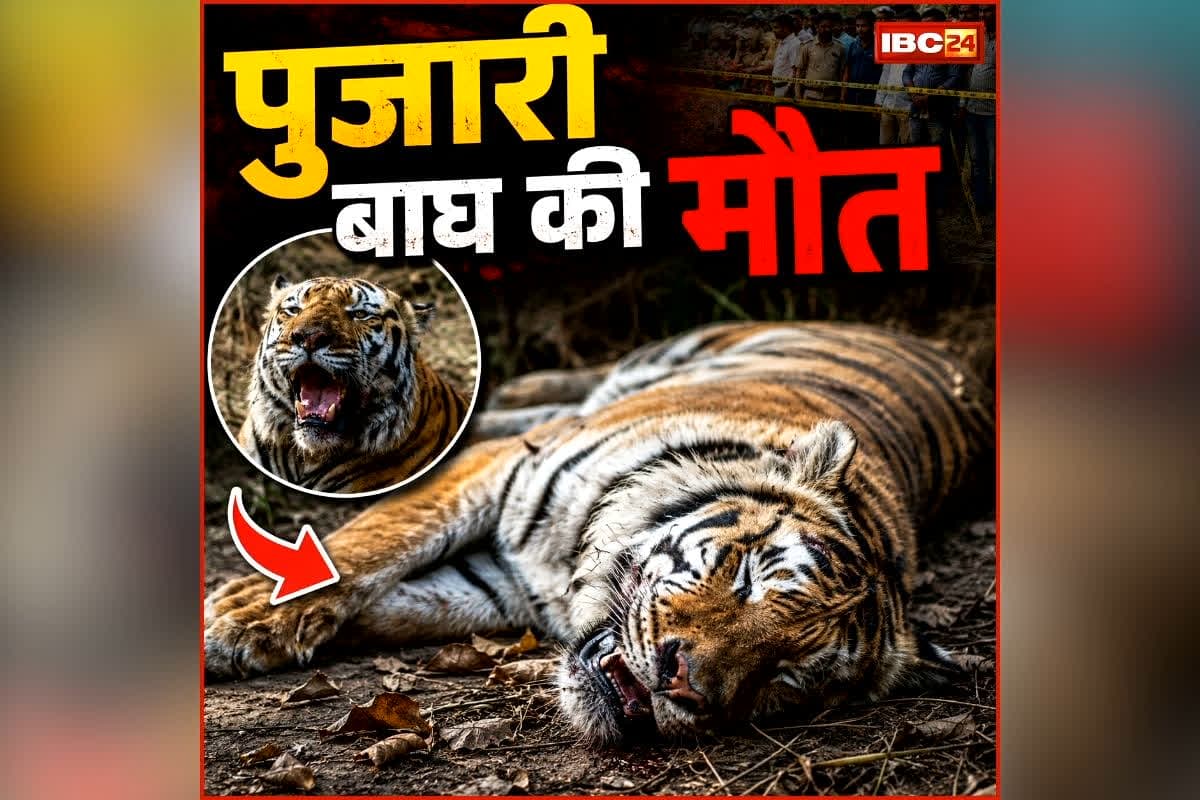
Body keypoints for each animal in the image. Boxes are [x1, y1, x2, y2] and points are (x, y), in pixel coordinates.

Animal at [207, 321, 993, 743]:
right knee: (572, 383)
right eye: (747, 575)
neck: (565, 576)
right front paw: (240, 620)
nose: (684, 684)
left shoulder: (488, 589)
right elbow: (376, 542)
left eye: (790, 678)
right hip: (666, 352)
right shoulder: (500, 471)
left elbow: (383, 606)